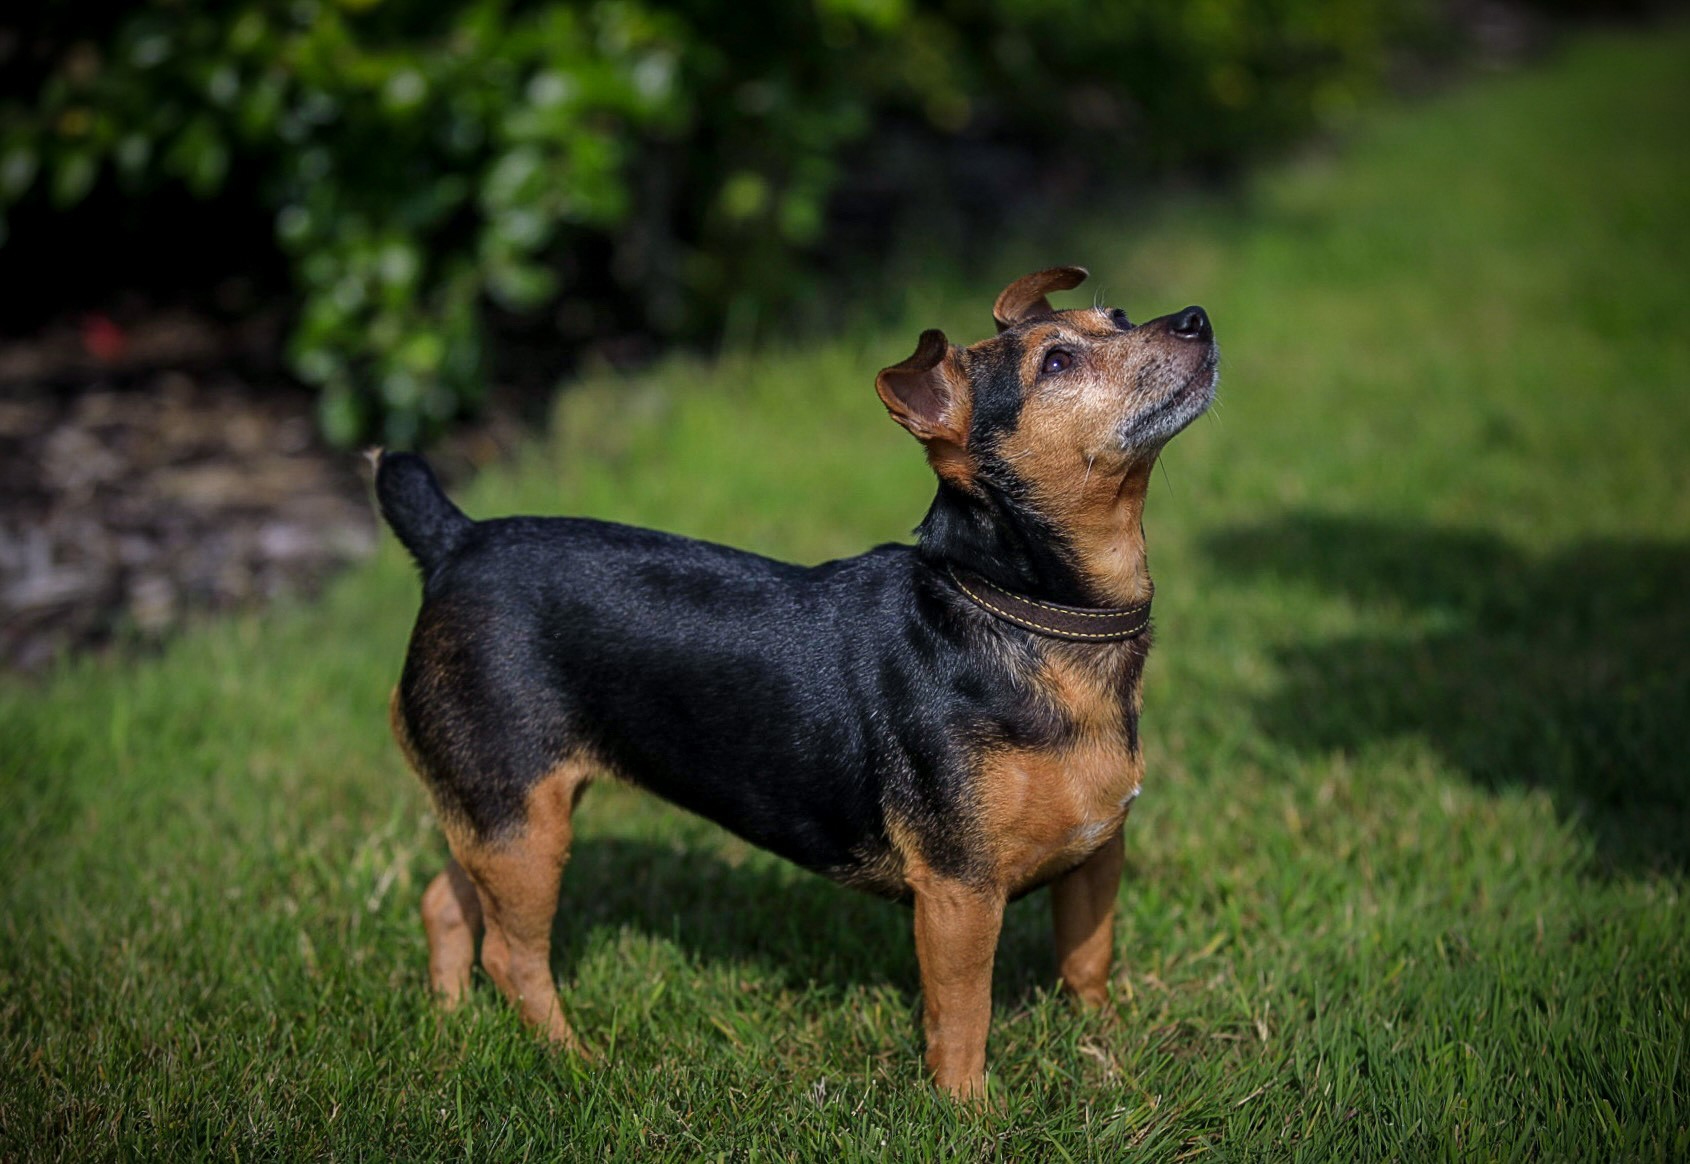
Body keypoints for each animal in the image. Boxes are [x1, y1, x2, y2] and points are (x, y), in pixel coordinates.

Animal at [373, 268, 1216, 1094]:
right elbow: (962, 1016)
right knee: (511, 956)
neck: (1023, 611)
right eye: (1058, 363)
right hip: (524, 827)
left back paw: (451, 1025)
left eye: (1119, 316)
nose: (1196, 318)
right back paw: (575, 1063)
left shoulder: (1098, 858)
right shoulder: (960, 892)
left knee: (446, 903)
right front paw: (967, 1111)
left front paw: (1107, 1050)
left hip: (498, 810)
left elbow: (1087, 962)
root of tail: (455, 542)